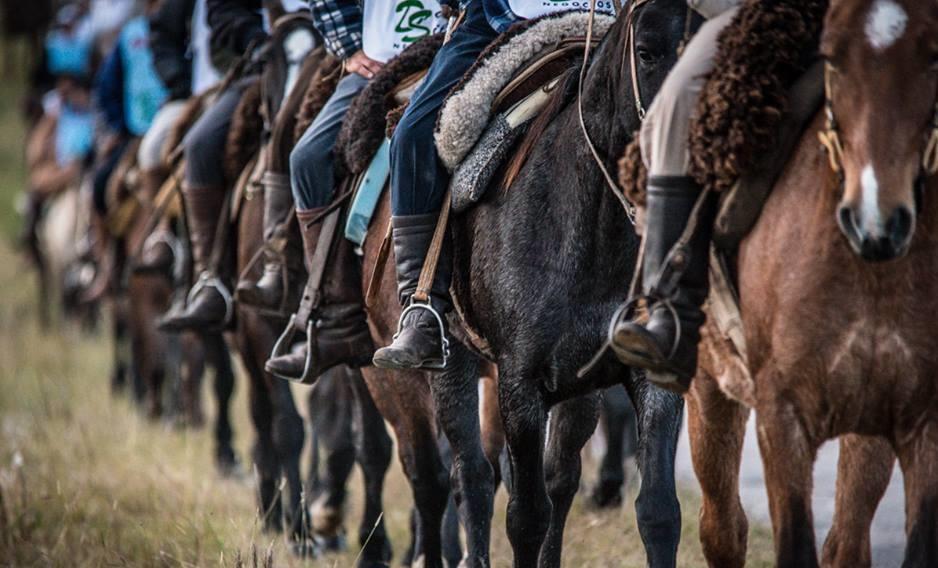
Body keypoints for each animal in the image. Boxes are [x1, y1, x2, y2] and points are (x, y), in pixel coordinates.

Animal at [446, 2, 704, 564]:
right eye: (646, 50)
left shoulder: (649, 374)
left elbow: (658, 511)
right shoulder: (520, 387)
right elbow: (525, 517)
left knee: (558, 475)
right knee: (468, 472)